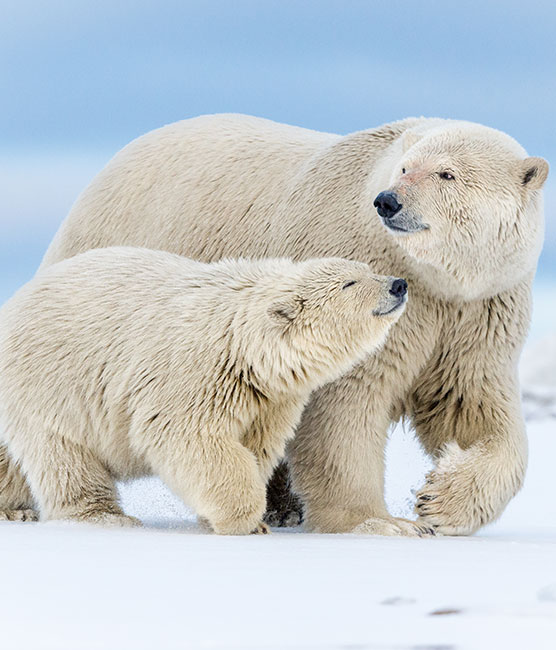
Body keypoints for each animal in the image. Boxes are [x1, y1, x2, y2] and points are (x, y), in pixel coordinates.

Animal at [0, 247, 406, 532]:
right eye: (349, 283)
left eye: (368, 270)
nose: (398, 284)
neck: (242, 340)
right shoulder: (193, 370)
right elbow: (190, 437)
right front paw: (243, 519)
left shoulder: (270, 397)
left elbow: (256, 446)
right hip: (51, 382)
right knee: (63, 454)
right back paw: (102, 516)